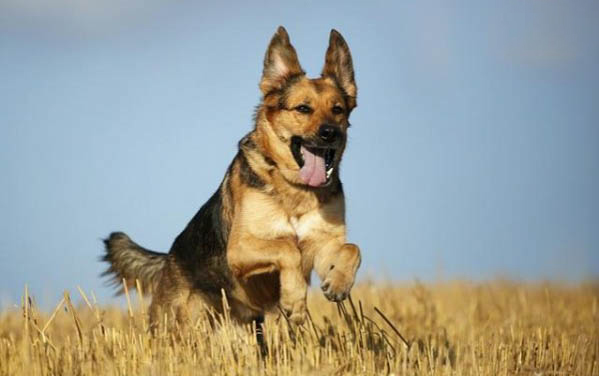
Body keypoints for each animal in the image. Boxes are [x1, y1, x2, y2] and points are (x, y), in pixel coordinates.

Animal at [102, 25, 360, 344]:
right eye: (303, 109)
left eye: (338, 110)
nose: (330, 133)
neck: (295, 190)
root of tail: (168, 261)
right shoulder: (240, 249)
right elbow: (287, 247)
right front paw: (294, 301)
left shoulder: (322, 248)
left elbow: (352, 249)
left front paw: (339, 283)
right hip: (182, 323)